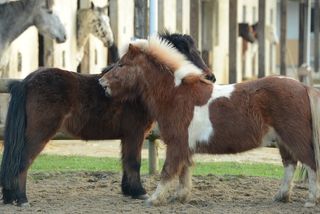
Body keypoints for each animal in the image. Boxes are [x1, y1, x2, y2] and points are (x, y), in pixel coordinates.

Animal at [0, 32, 215, 206]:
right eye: (186, 54)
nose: (210, 77)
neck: (136, 88)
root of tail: (26, 81)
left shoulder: (127, 137)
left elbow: (126, 162)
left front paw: (129, 191)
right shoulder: (135, 134)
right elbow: (134, 162)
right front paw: (139, 192)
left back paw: (11, 197)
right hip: (39, 134)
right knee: (22, 162)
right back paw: (21, 199)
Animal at [100, 37, 320, 207]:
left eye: (122, 64)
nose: (102, 83)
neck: (175, 94)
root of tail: (303, 87)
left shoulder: (177, 144)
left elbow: (168, 171)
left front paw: (154, 199)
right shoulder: (185, 147)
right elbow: (184, 172)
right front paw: (180, 197)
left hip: (295, 138)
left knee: (310, 163)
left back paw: (310, 200)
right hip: (283, 140)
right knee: (290, 165)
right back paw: (281, 197)